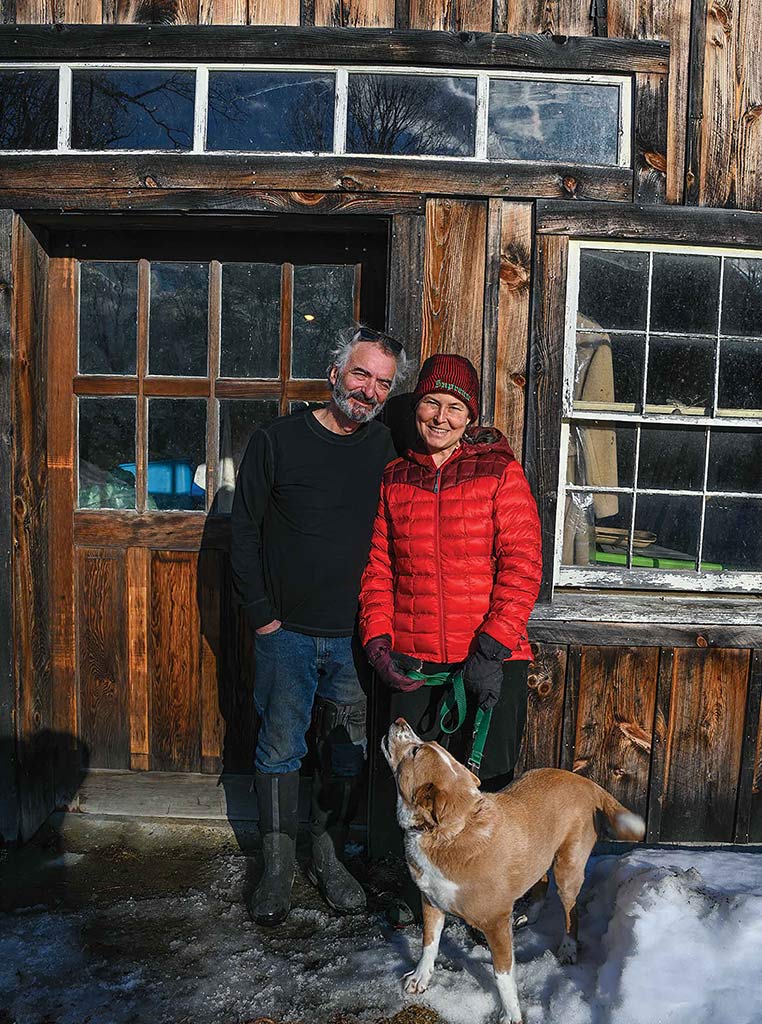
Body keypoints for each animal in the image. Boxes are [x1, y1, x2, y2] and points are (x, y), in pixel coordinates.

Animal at [383, 720, 647, 1024]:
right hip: (539, 855)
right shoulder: (431, 901)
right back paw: (531, 915)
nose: (399, 721)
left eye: (415, 751)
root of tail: (585, 782)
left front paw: (510, 1014)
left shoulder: (496, 924)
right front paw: (420, 977)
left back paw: (568, 948)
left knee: (572, 910)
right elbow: (429, 943)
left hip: (568, 868)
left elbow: (503, 975)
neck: (449, 833)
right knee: (541, 880)